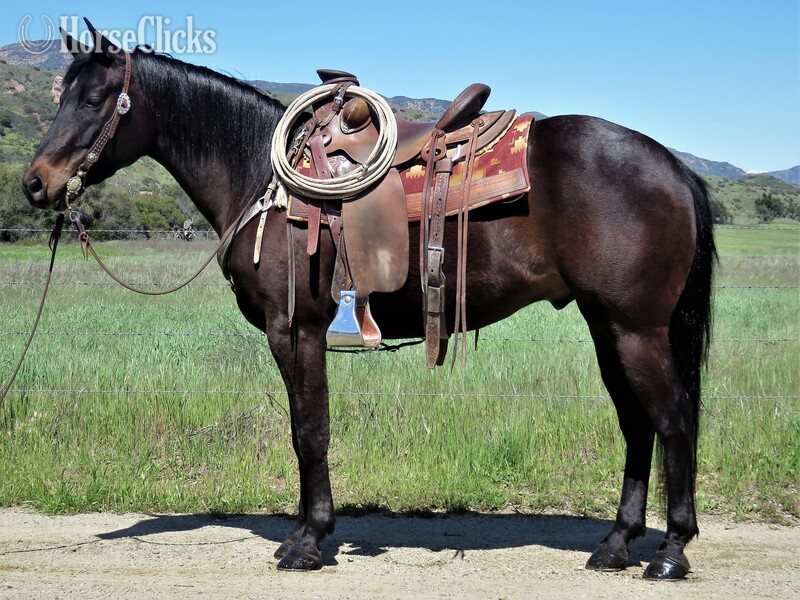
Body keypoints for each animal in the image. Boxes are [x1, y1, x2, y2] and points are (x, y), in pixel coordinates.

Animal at [22, 26, 715, 580]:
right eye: (60, 97)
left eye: (93, 100)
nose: (34, 184)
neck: (262, 177)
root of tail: (673, 167)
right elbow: (305, 431)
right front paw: (306, 533)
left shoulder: (294, 330)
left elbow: (310, 431)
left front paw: (307, 542)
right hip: (609, 326)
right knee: (637, 424)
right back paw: (616, 544)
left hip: (635, 329)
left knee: (673, 419)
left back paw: (671, 552)